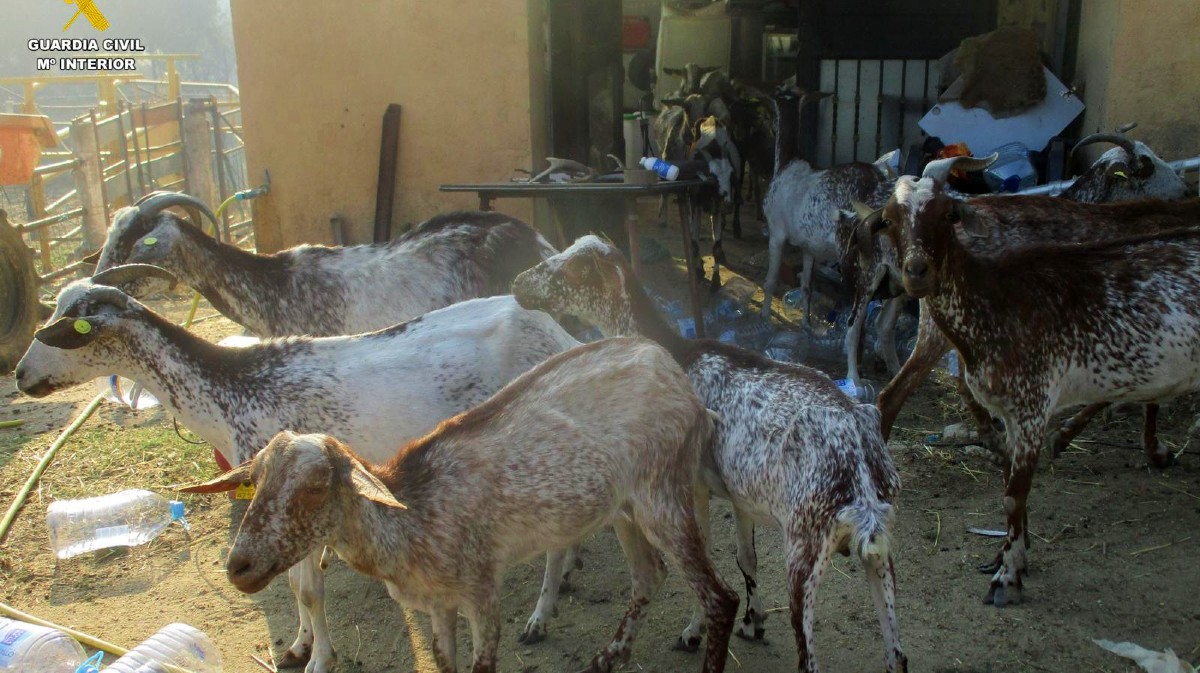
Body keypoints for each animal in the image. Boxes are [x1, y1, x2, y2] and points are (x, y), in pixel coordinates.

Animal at [14, 271, 580, 673]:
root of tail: (558, 334)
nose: (20, 375)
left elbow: (307, 590)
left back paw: (539, 616)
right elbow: (289, 586)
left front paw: (319, 659)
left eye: (71, 328)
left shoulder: (302, 513)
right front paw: (298, 646)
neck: (230, 388)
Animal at [179, 337, 740, 673]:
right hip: (625, 508)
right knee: (649, 577)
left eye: (317, 485)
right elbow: (444, 663)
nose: (239, 566)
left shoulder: (481, 591)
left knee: (721, 596)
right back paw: (609, 655)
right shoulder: (437, 603)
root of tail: (673, 372)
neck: (411, 519)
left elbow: (481, 663)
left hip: (664, 495)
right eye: (255, 481)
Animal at [512, 236, 907, 673]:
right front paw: (753, 622)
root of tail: (860, 468)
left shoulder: (694, 484)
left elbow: (704, 549)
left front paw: (694, 630)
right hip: (880, 548)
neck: (677, 354)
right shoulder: (741, 496)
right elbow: (745, 557)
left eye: (573, 269)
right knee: (897, 656)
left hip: (805, 544)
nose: (517, 284)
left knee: (810, 660)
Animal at [868, 180, 1200, 606]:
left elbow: (1013, 493)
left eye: (947, 215)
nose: (917, 271)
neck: (996, 296)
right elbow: (1013, 488)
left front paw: (1007, 574)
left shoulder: (1032, 403)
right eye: (889, 220)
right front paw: (1011, 560)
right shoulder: (1017, 408)